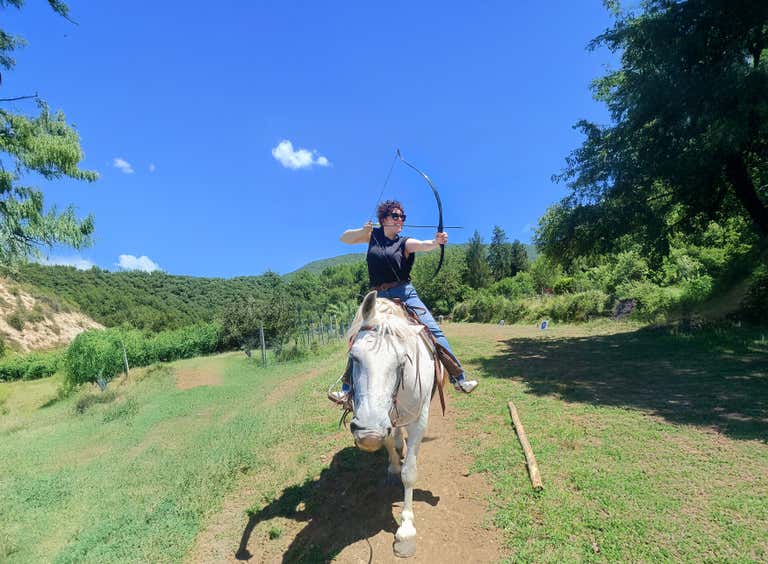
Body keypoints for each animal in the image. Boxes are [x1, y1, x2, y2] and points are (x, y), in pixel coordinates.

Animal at [345, 290, 440, 558]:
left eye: (402, 362)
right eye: (353, 357)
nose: (368, 433)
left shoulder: (420, 419)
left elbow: (410, 473)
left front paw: (406, 531)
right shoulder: (384, 420)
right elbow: (388, 442)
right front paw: (393, 465)